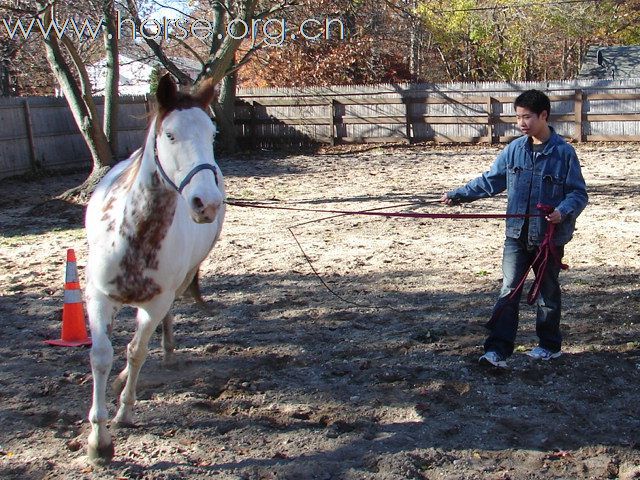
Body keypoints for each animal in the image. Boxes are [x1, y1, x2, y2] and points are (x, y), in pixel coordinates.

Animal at [83, 75, 225, 464]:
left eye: (212, 133)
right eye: (170, 135)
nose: (207, 203)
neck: (136, 236)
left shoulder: (156, 301)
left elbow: (136, 351)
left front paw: (124, 412)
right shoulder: (97, 297)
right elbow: (101, 355)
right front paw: (98, 440)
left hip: (178, 284)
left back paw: (167, 350)